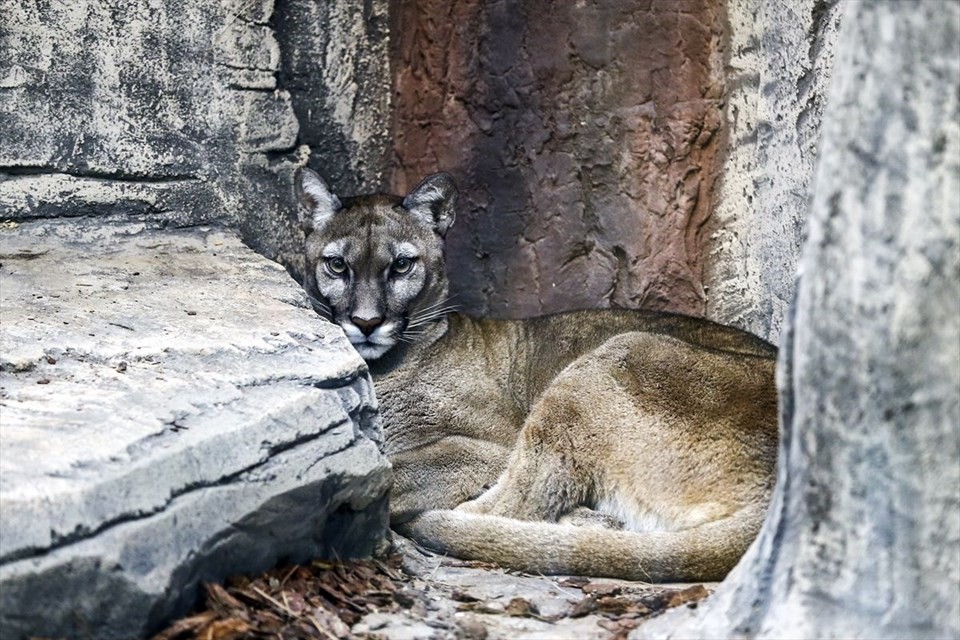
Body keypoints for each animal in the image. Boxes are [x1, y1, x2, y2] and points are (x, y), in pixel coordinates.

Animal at [296, 168, 776, 584]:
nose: (366, 321)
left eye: (401, 265)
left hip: (616, 358)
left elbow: (398, 469)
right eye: (337, 265)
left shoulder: (494, 444)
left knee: (518, 505)